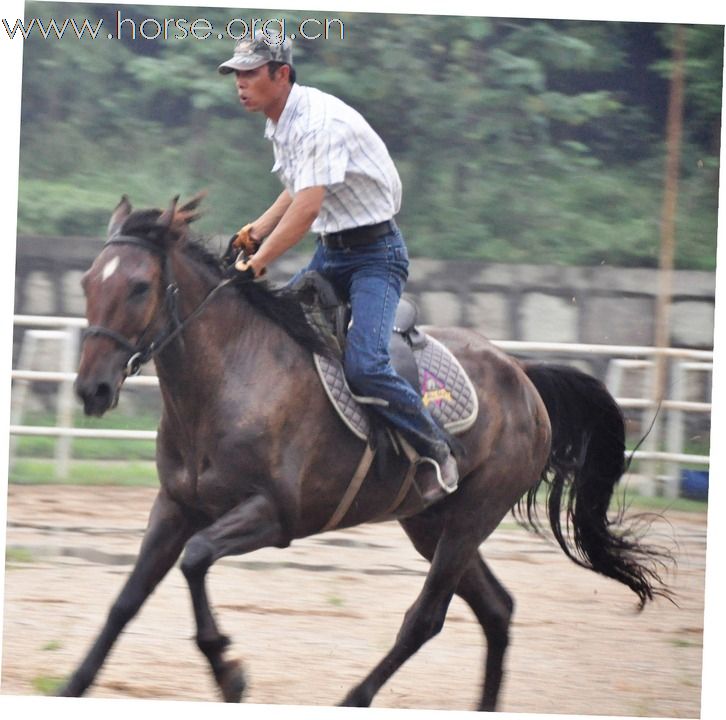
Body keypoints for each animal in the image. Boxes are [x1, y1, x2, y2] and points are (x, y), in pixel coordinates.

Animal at [65, 195, 668, 708]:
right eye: (88, 281)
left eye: (140, 286)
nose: (92, 389)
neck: (231, 377)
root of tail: (522, 374)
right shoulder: (175, 507)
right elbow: (127, 598)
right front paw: (75, 684)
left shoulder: (273, 516)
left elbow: (194, 561)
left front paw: (229, 672)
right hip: (430, 523)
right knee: (496, 610)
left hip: (472, 517)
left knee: (426, 618)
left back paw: (354, 697)